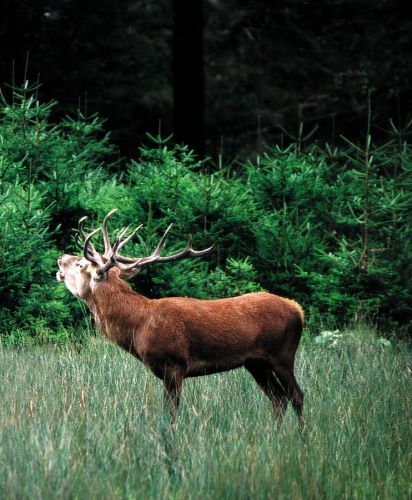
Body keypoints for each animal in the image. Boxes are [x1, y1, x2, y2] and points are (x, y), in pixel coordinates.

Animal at [56, 210, 304, 426]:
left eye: (80, 264)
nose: (61, 257)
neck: (139, 327)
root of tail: (298, 310)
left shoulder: (174, 363)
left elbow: (171, 414)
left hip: (282, 354)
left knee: (296, 395)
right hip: (256, 363)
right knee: (278, 398)